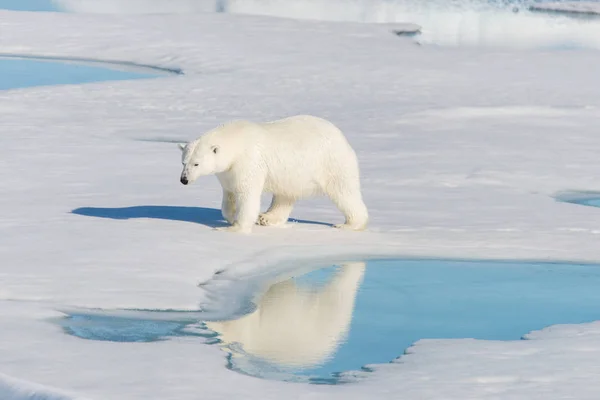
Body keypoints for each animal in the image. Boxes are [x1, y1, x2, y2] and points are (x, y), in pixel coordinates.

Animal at [176, 114, 368, 233]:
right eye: (183, 162)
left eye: (196, 163)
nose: (184, 179)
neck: (237, 140)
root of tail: (342, 137)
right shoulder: (228, 171)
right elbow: (229, 194)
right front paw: (231, 218)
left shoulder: (249, 161)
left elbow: (247, 194)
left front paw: (234, 228)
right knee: (285, 195)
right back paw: (266, 218)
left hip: (331, 162)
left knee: (344, 191)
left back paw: (349, 224)